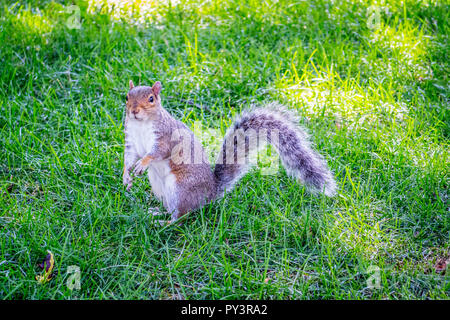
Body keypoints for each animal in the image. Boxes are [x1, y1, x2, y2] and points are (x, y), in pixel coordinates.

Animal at [121, 81, 336, 224]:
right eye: (127, 97)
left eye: (151, 99)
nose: (134, 111)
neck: (142, 124)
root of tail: (209, 194)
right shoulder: (131, 141)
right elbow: (129, 158)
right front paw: (126, 176)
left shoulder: (166, 137)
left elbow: (157, 152)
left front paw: (143, 163)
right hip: (160, 188)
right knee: (172, 209)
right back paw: (157, 213)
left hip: (180, 189)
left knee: (182, 215)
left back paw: (164, 223)